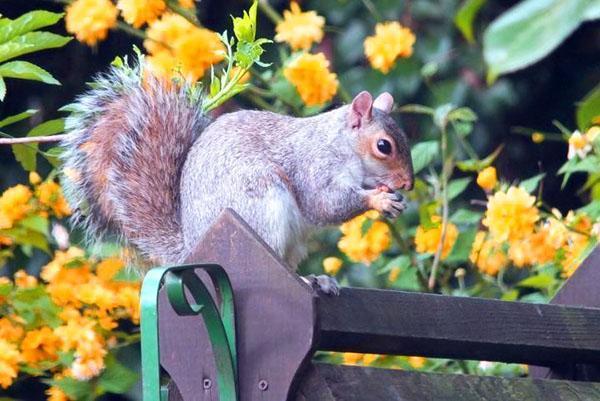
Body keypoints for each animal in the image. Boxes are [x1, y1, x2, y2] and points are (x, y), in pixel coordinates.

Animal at [59, 61, 412, 282]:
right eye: (384, 146)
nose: (407, 183)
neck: (340, 145)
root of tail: (191, 246)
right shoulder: (313, 167)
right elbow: (325, 205)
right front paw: (378, 200)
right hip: (260, 206)